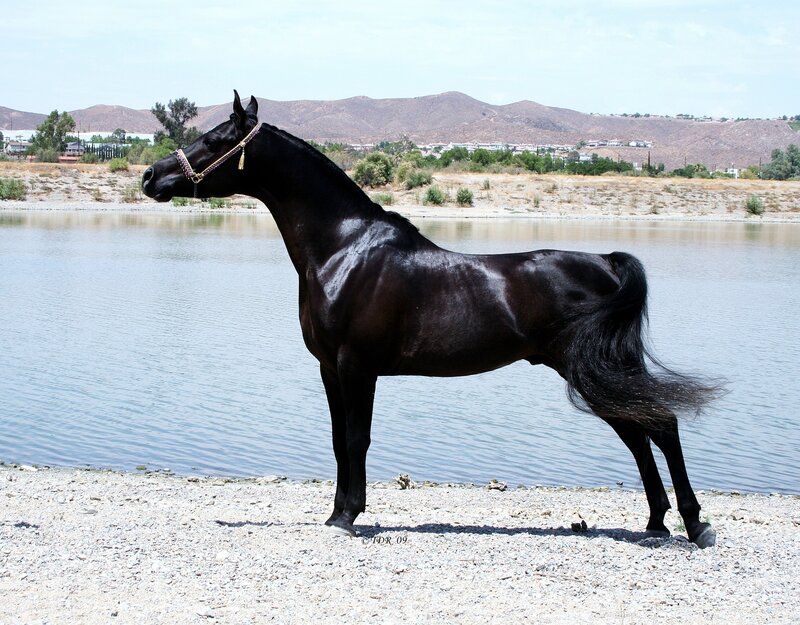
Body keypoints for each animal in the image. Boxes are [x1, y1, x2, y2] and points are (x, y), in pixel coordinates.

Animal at [142, 91, 721, 548]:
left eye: (215, 139)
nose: (151, 176)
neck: (343, 249)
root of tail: (607, 263)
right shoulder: (330, 368)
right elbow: (336, 440)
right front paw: (334, 513)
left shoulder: (357, 366)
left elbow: (356, 438)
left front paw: (349, 516)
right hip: (596, 374)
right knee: (641, 432)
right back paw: (656, 523)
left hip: (596, 371)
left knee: (660, 426)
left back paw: (695, 526)